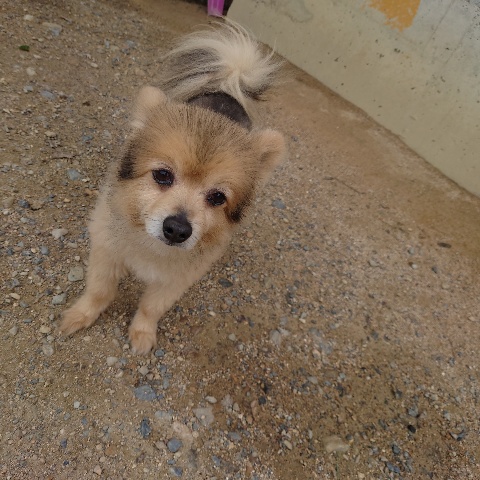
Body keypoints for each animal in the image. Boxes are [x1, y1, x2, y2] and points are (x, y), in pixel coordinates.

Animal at [59, 22, 287, 354]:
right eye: (163, 175)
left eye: (217, 197)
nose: (178, 229)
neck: (150, 248)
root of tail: (226, 89)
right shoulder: (106, 251)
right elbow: (99, 292)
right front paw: (81, 315)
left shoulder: (174, 281)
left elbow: (150, 308)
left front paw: (142, 333)